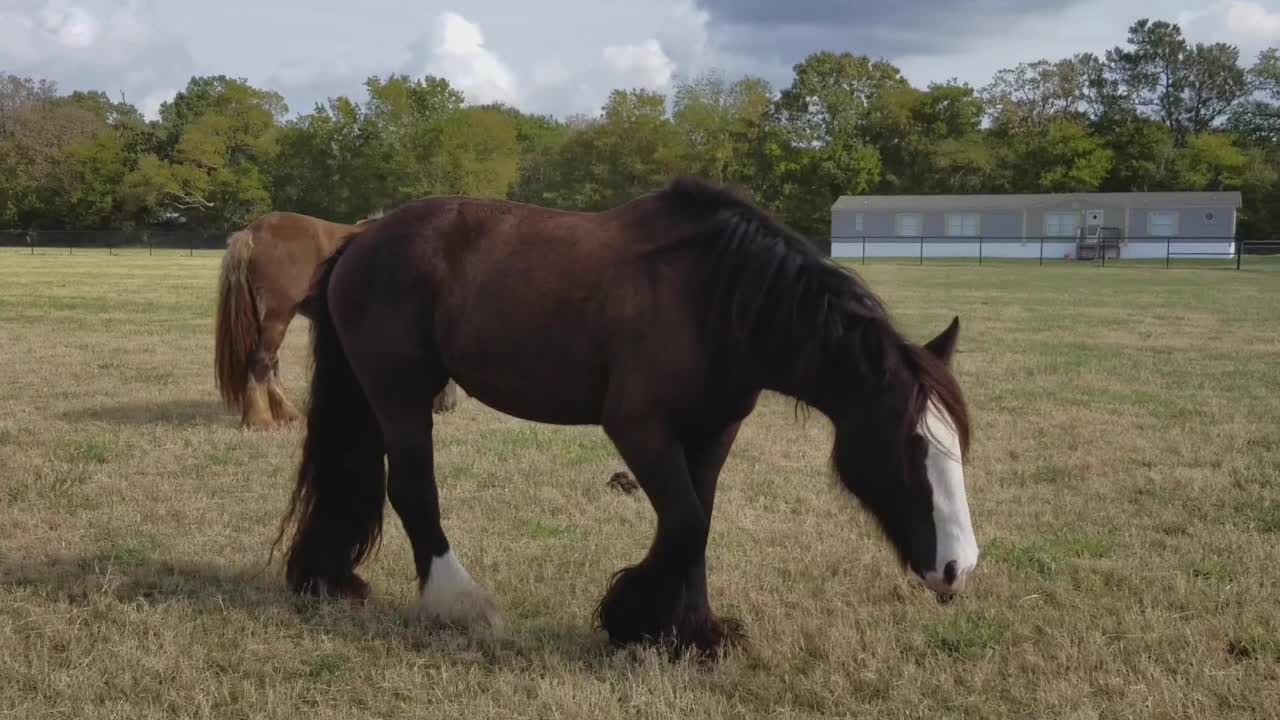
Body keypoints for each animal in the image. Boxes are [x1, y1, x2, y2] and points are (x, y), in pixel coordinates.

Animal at [213, 211, 460, 430]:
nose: (448, 406)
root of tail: (251, 233)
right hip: (277, 316)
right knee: (261, 361)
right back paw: (259, 421)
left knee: (270, 363)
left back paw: (286, 413)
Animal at [270, 176, 978, 658]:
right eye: (906, 449)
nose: (957, 569)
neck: (713, 298)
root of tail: (362, 239)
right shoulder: (639, 428)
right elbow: (686, 521)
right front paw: (630, 618)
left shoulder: (713, 433)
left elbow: (699, 521)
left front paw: (692, 632)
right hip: (402, 394)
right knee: (414, 490)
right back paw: (457, 604)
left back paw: (327, 577)